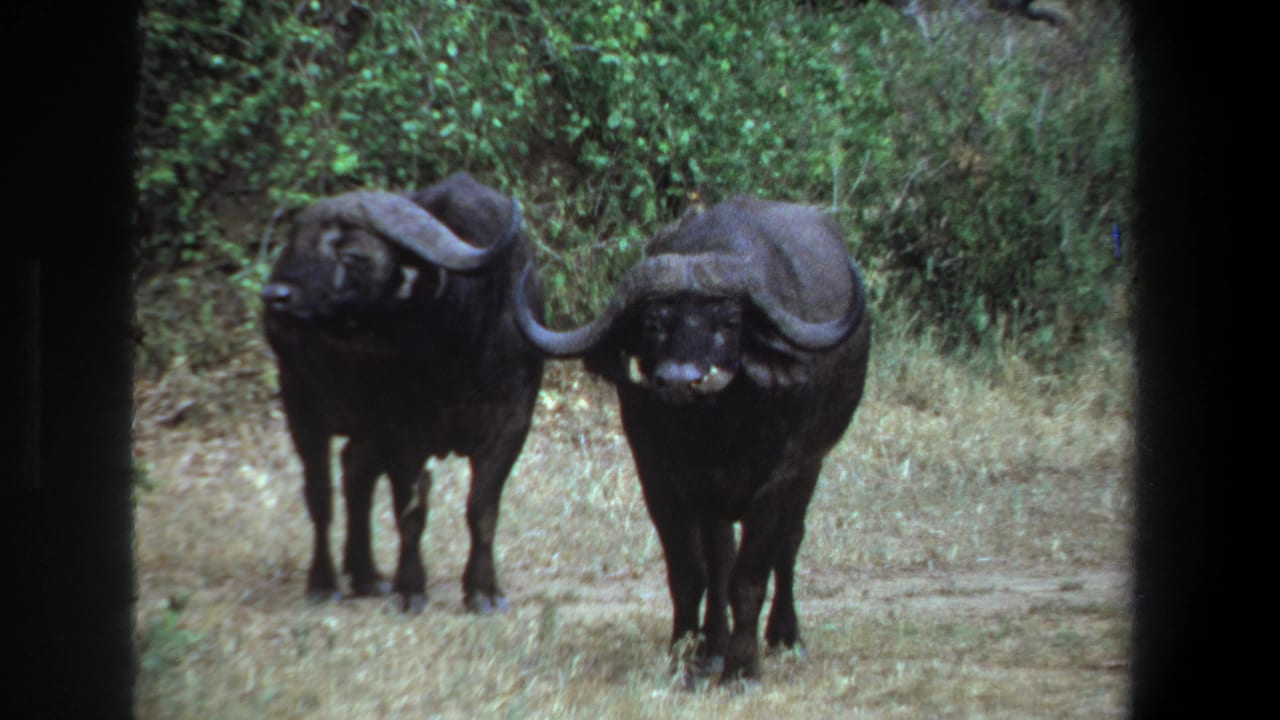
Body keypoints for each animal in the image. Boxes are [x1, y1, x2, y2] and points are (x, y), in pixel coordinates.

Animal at [262, 173, 543, 614]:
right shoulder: (403, 429)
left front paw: (483, 591)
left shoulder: (512, 421)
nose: (275, 296)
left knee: (355, 472)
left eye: (352, 255)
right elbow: (411, 510)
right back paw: (324, 582)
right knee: (321, 495)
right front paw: (411, 589)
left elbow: (482, 509)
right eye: (296, 243)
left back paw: (366, 574)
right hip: (300, 403)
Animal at [513, 196, 870, 682]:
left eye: (729, 322)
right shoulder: (660, 479)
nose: (682, 380)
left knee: (789, 543)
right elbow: (691, 574)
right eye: (654, 324)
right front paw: (685, 658)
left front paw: (743, 669)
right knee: (720, 561)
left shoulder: (781, 477)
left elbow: (750, 576)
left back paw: (784, 636)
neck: (717, 429)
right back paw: (712, 648)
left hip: (812, 466)